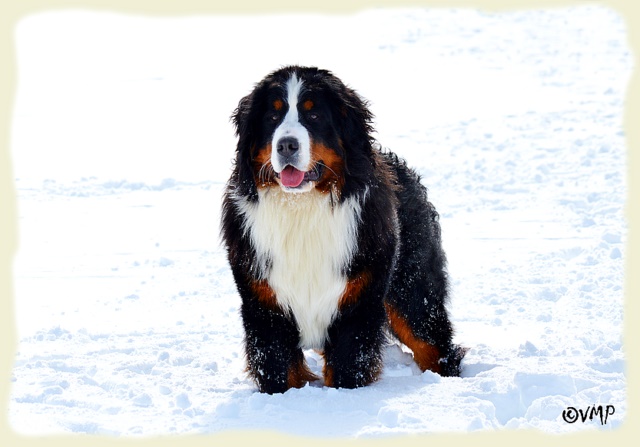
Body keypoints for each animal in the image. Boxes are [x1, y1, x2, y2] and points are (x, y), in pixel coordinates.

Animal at [221, 65, 464, 394]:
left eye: (313, 115)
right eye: (272, 116)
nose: (286, 145)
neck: (302, 210)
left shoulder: (357, 304)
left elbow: (348, 370)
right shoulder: (265, 305)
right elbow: (279, 372)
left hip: (411, 293)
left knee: (433, 344)